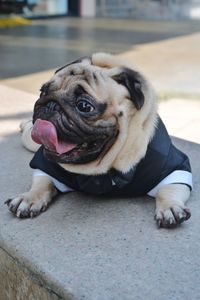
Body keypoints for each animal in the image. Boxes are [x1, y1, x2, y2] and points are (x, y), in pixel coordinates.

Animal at [5, 53, 192, 227]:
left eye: (84, 106)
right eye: (42, 92)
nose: (51, 105)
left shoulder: (172, 166)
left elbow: (169, 190)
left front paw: (170, 207)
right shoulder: (47, 165)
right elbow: (41, 183)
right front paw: (29, 198)